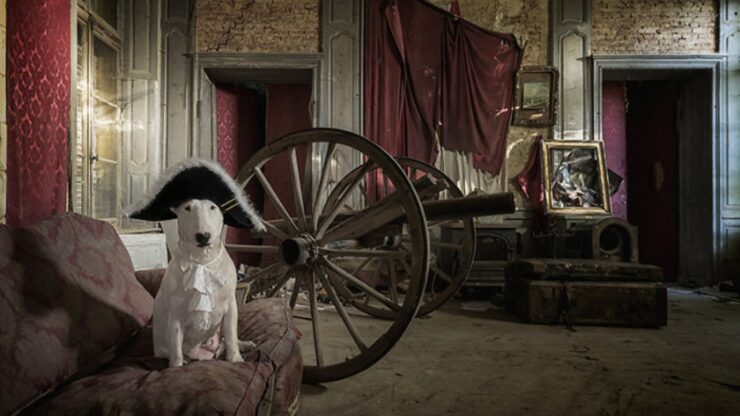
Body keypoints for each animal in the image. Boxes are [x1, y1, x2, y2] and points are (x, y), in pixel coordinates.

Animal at [127, 158, 266, 366]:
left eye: (213, 207)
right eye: (187, 208)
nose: (203, 236)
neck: (202, 261)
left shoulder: (231, 306)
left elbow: (231, 335)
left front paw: (236, 359)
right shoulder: (176, 314)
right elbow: (176, 347)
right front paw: (175, 368)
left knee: (227, 340)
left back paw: (245, 345)